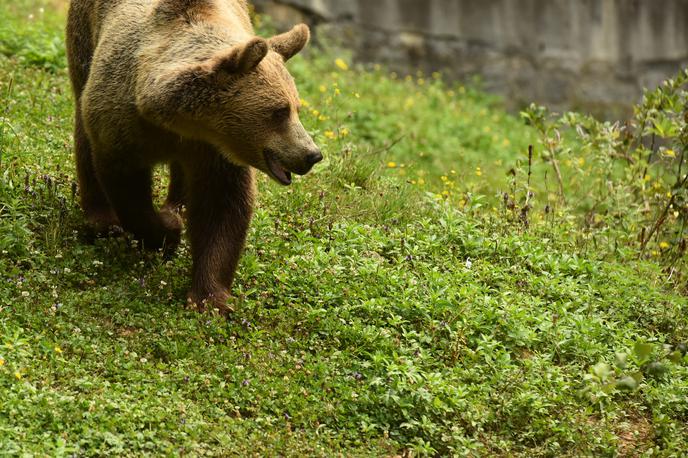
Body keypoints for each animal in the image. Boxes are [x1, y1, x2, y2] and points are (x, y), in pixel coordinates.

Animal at [66, 0, 322, 314]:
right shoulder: (123, 122)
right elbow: (127, 187)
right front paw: (166, 233)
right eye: (279, 111)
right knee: (84, 133)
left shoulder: (214, 151)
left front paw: (211, 298)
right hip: (84, 40)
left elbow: (222, 206)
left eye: (297, 107)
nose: (312, 154)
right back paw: (102, 220)